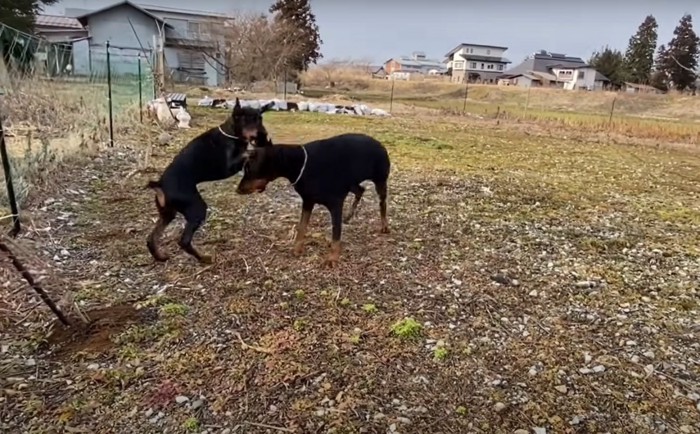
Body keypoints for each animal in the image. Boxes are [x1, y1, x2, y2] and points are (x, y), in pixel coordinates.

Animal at [147, 97, 274, 264]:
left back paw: (160, 256)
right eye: (249, 120)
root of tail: (160, 184)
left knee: (151, 238)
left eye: (260, 119)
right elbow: (249, 152)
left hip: (168, 213)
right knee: (184, 241)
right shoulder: (229, 166)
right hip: (196, 208)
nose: (264, 136)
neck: (231, 134)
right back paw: (204, 258)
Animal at [234, 133, 388, 268]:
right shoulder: (308, 201)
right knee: (360, 190)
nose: (238, 190)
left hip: (380, 180)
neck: (298, 164)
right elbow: (302, 226)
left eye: (248, 169)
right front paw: (297, 248)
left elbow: (336, 232)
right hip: (351, 183)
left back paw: (384, 225)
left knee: (382, 203)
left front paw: (332, 258)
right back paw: (349, 216)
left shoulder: (335, 204)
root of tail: (378, 142)